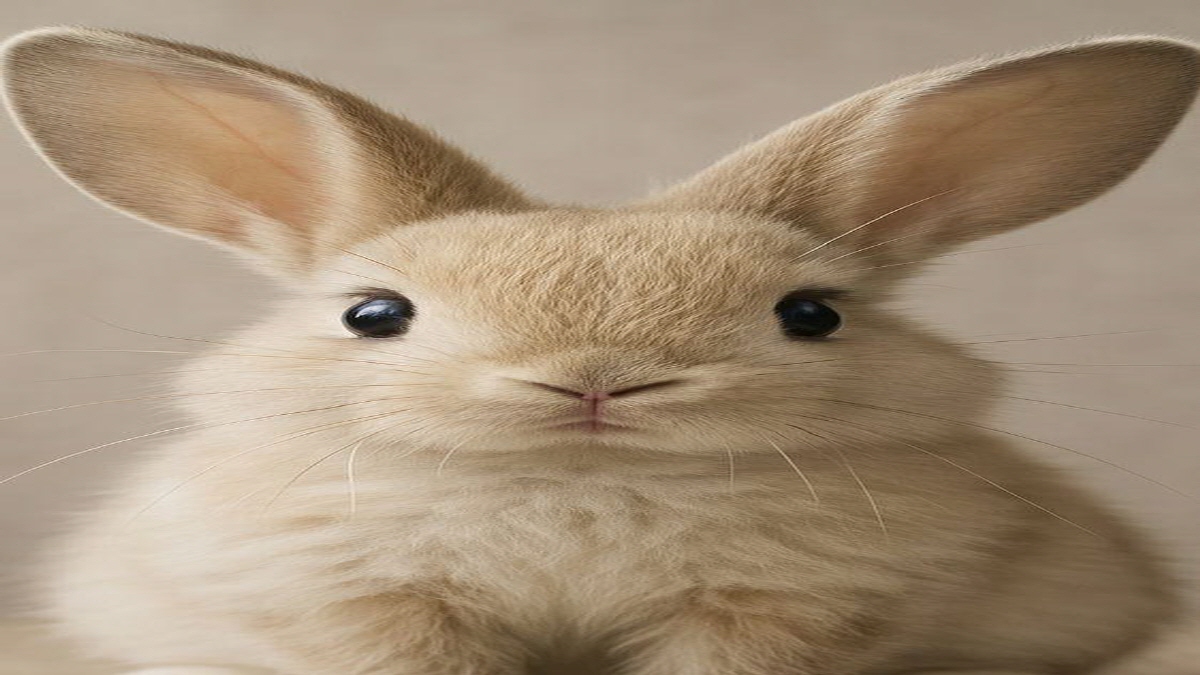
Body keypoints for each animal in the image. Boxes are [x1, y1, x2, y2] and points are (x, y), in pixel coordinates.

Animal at [2, 25, 1199, 675]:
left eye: (812, 315)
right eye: (374, 316)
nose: (594, 379)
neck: (579, 477)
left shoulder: (784, 613)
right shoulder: (359, 605)